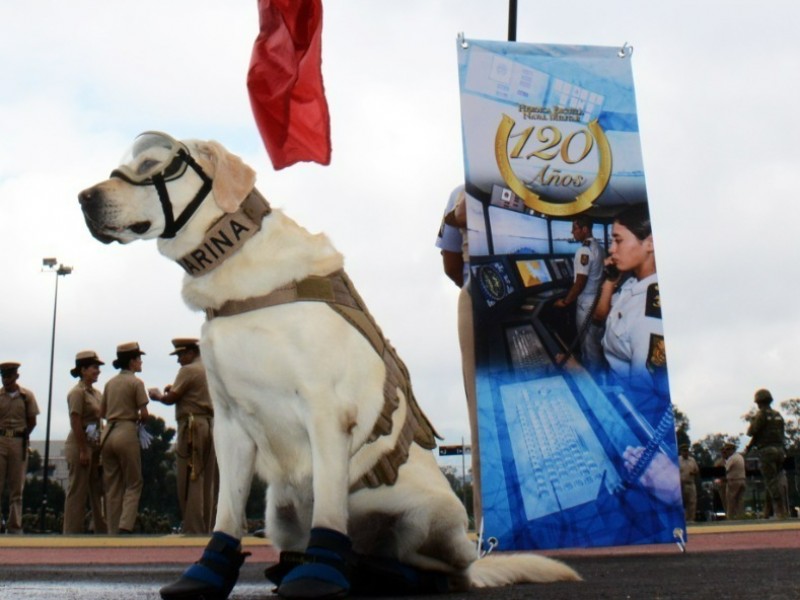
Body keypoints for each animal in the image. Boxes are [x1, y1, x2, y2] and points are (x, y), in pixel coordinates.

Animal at [78, 134, 580, 596]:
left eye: (151, 163)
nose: (84, 198)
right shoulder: (230, 424)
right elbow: (227, 513)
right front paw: (205, 574)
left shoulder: (325, 411)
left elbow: (329, 512)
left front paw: (318, 576)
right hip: (279, 513)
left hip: (430, 519)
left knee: (432, 570)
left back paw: (381, 573)